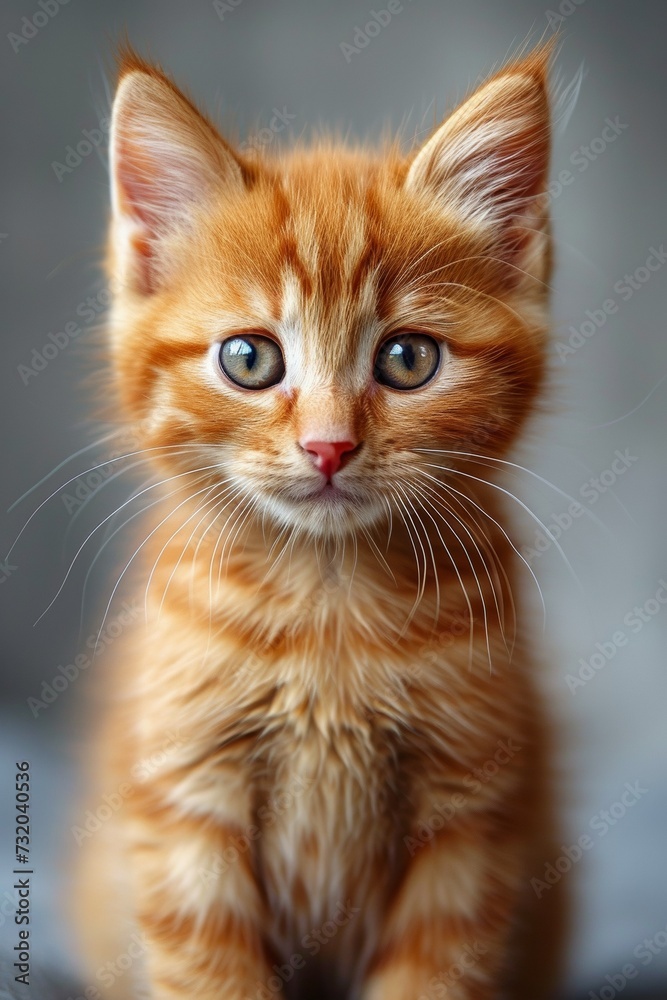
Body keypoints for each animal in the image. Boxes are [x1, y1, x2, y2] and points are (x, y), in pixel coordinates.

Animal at [77, 45, 564, 1000]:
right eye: (249, 358)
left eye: (407, 359)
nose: (329, 445)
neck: (327, 603)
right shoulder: (184, 798)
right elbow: (211, 971)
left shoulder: (471, 815)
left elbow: (433, 969)